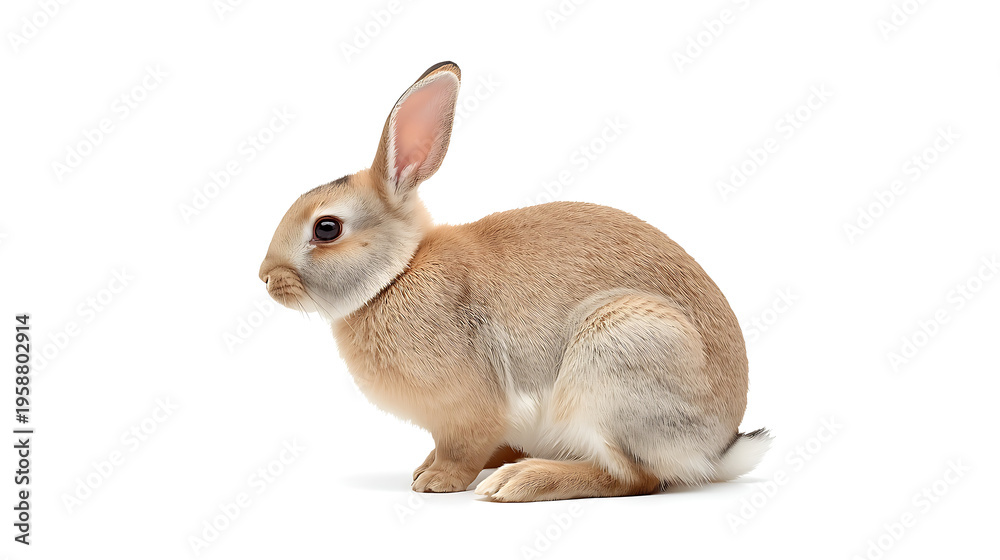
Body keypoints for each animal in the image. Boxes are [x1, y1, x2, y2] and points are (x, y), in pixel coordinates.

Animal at [259, 61, 772, 502]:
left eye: (327, 228)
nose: (266, 277)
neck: (398, 272)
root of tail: (716, 448)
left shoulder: (469, 409)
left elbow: (463, 447)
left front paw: (436, 482)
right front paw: (425, 469)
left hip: (616, 360)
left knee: (633, 477)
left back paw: (518, 481)